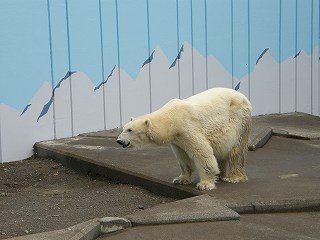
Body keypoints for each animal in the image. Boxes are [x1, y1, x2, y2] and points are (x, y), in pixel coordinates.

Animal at [116, 87, 251, 190]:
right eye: (124, 128)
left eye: (130, 130)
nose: (119, 141)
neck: (171, 119)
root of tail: (245, 98)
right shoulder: (177, 139)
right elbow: (183, 157)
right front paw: (180, 179)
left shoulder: (187, 128)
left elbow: (202, 152)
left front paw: (205, 184)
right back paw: (220, 175)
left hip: (239, 121)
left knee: (236, 151)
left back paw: (234, 177)